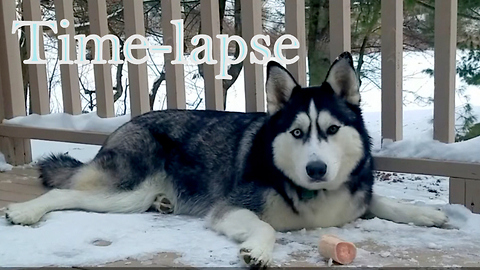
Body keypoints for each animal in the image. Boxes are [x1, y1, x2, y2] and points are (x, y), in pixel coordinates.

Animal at [5, 52, 448, 266]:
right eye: (298, 132)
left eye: (333, 129)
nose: (316, 169)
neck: (313, 194)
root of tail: (128, 122)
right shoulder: (229, 207)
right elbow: (264, 227)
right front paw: (259, 251)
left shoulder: (356, 192)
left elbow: (380, 199)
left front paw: (426, 213)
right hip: (125, 189)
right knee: (64, 193)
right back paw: (25, 211)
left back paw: (164, 203)